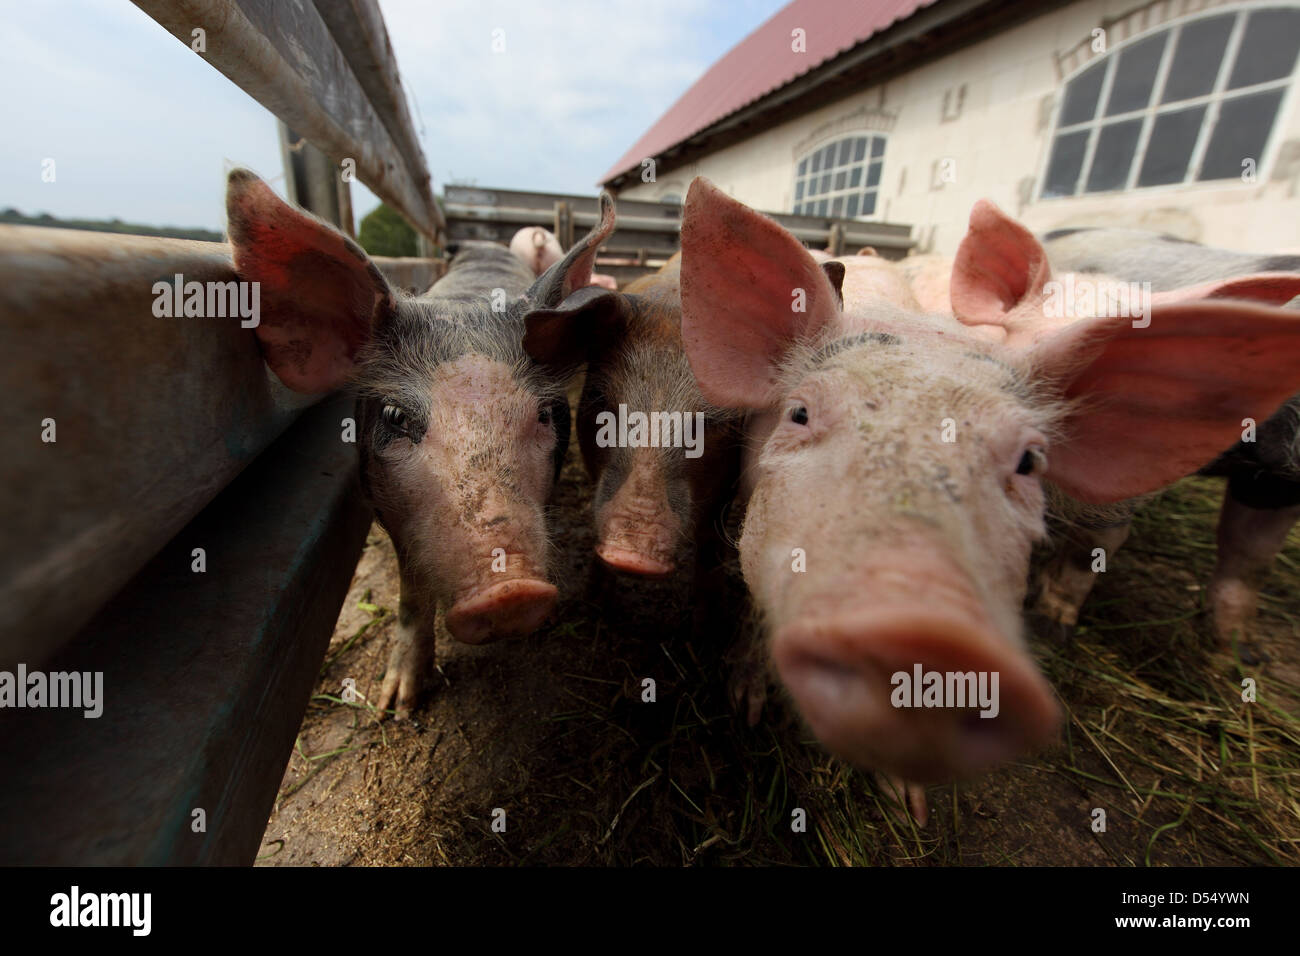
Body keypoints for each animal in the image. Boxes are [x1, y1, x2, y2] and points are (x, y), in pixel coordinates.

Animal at [224, 170, 618, 717]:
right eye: (395, 416)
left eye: (543, 413)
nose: (511, 590)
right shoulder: (384, 506)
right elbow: (411, 594)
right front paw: (398, 705)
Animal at [517, 252, 743, 613]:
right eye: (599, 398)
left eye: (716, 421)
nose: (630, 555)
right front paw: (594, 604)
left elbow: (710, 539)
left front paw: (708, 619)